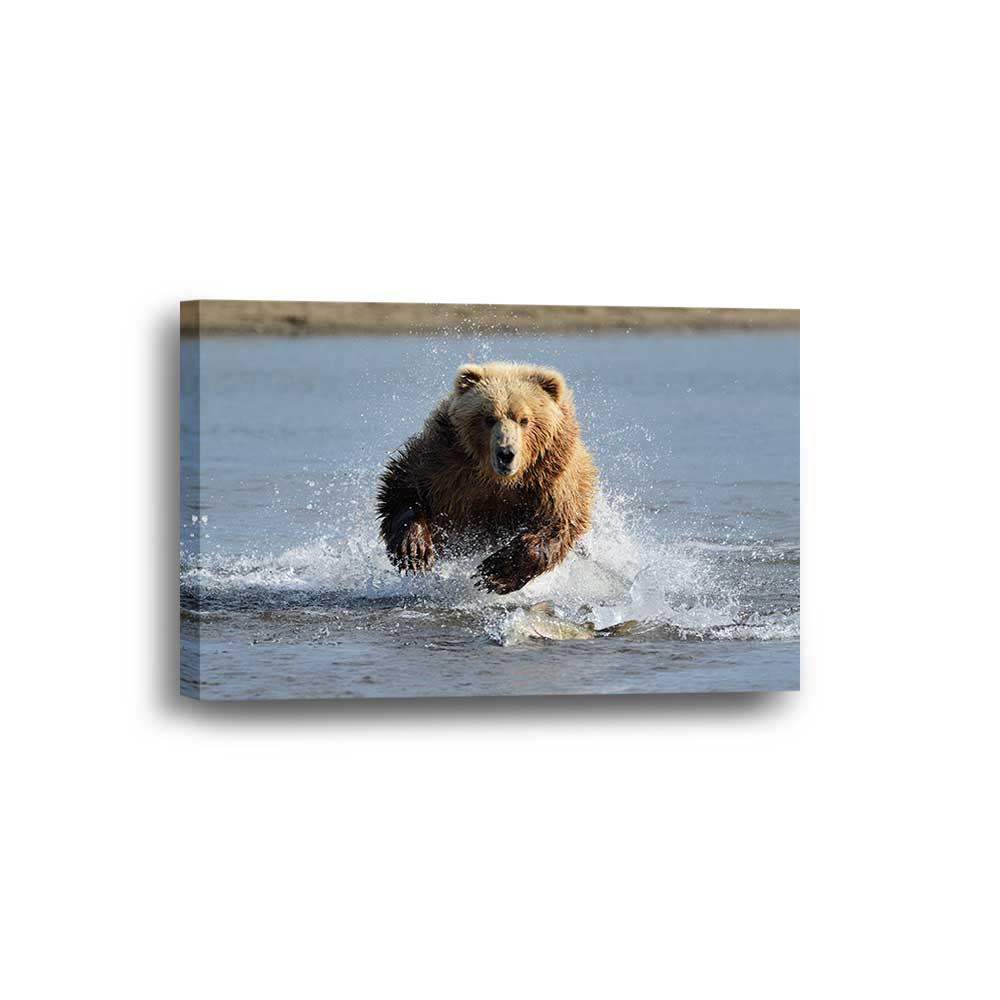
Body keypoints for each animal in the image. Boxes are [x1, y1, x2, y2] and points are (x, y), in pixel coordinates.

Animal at [376, 361, 597, 594]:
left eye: (524, 420)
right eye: (489, 418)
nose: (506, 453)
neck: (498, 479)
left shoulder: (551, 479)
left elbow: (557, 523)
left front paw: (495, 572)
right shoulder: (444, 463)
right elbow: (403, 488)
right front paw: (414, 550)